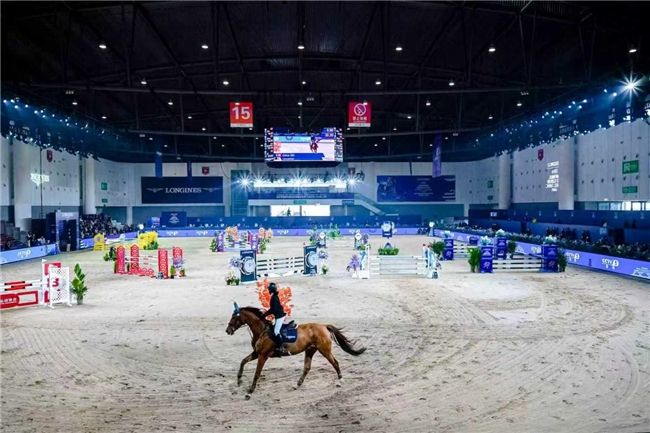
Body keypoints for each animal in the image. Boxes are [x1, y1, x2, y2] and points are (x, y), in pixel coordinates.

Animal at [225, 302, 366, 399]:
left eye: (234, 317)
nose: (228, 330)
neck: (262, 331)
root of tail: (323, 326)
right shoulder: (256, 353)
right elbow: (243, 361)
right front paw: (239, 380)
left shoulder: (263, 355)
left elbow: (257, 373)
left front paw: (249, 392)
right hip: (310, 350)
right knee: (307, 367)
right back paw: (297, 384)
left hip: (324, 350)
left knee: (335, 363)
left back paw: (340, 381)